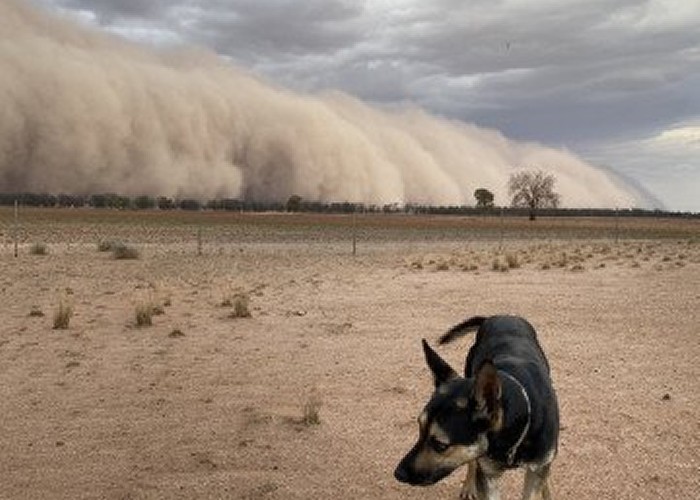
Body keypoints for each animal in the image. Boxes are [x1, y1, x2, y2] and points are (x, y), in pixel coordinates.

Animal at [396, 314, 560, 498]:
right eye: (420, 428)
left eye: (440, 445)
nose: (398, 474)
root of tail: (499, 316)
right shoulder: (488, 473)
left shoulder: (537, 468)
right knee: (473, 463)